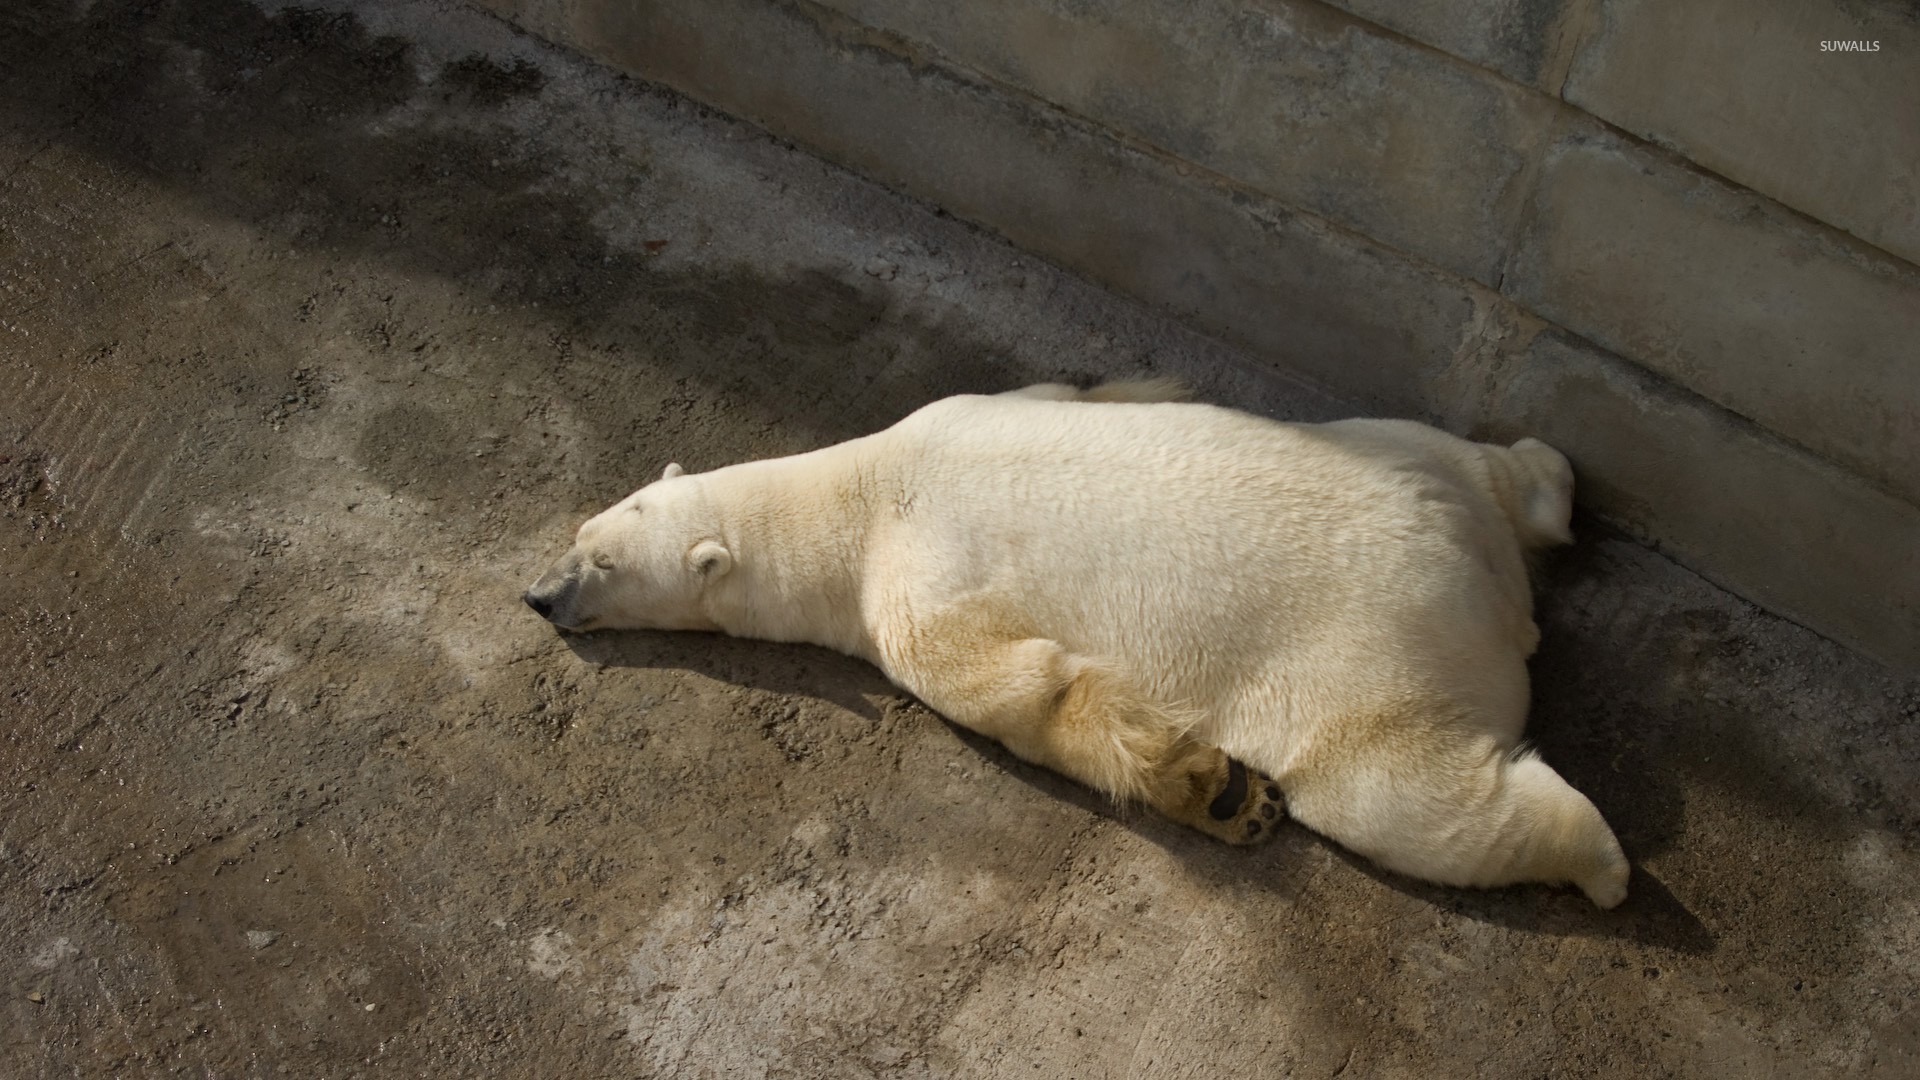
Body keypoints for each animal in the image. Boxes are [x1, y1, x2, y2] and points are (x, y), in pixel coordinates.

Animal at [524, 380, 1630, 908]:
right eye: (581, 532)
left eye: (604, 565)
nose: (540, 596)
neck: (858, 490)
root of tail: (1480, 575)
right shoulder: (974, 407)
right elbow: (1065, 393)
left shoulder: (909, 586)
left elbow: (1020, 685)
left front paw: (1216, 787)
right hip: (1406, 450)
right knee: (1498, 462)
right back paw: (1549, 480)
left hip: (1367, 659)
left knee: (1405, 797)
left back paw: (1601, 863)